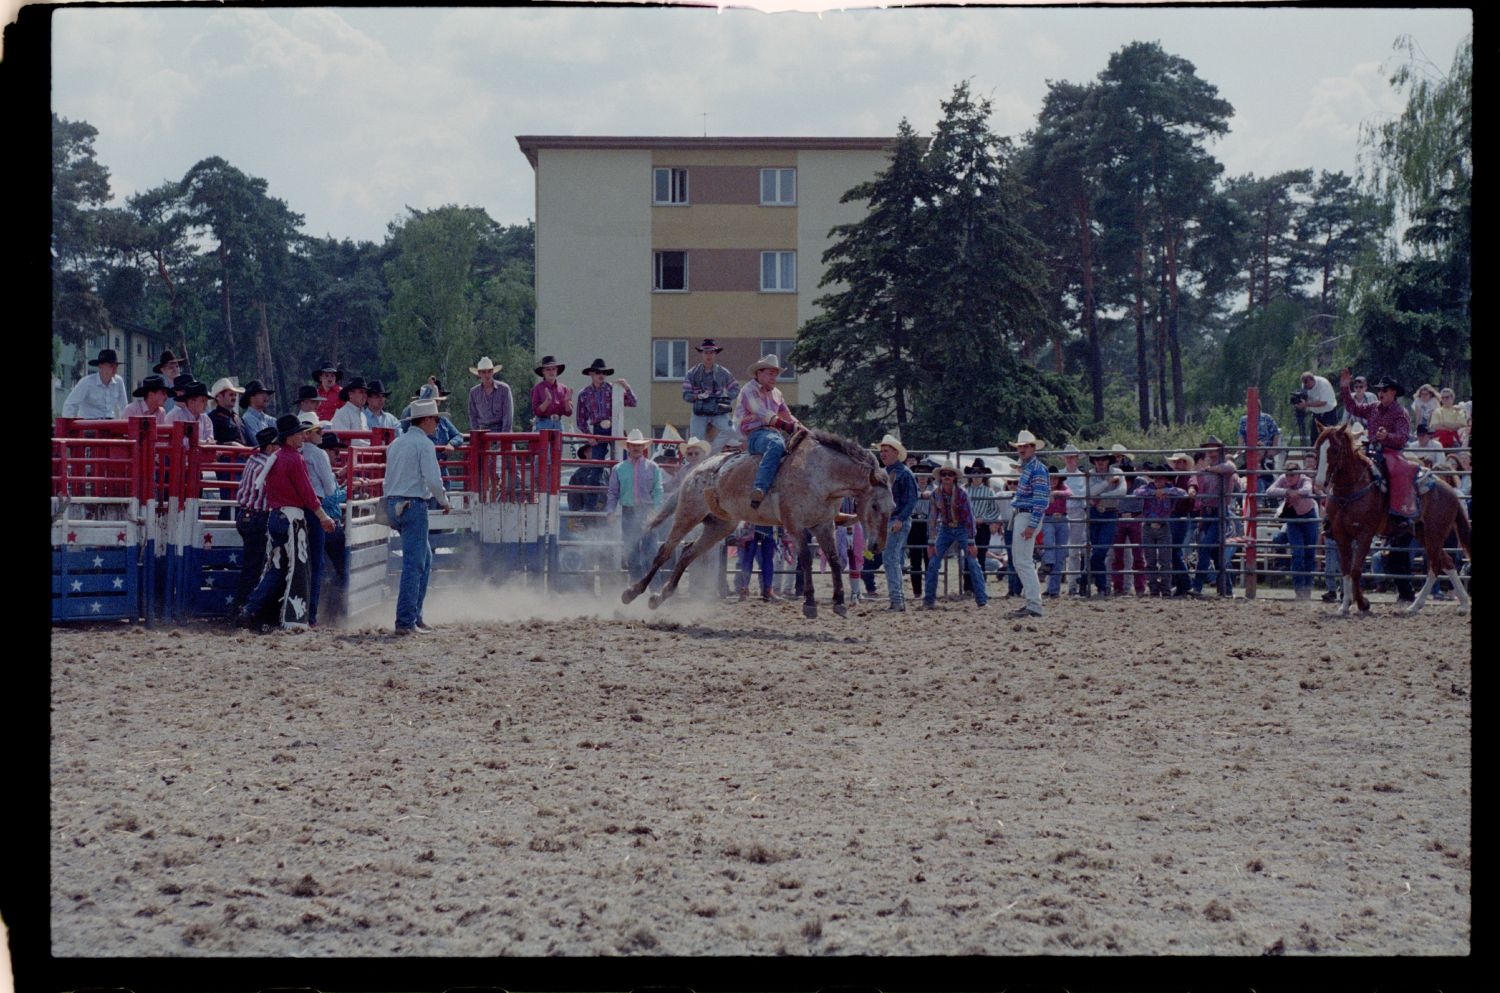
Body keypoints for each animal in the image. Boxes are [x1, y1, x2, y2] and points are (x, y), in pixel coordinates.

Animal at [618, 429, 888, 618]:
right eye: (875, 505)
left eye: (892, 507)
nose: (877, 546)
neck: (819, 473)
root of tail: (697, 469)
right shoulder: (795, 525)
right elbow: (805, 560)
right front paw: (810, 603)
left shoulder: (823, 525)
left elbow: (834, 560)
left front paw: (840, 603)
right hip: (689, 513)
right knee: (665, 551)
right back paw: (632, 592)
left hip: (720, 525)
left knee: (687, 553)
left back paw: (660, 597)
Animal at [1320, 426, 1470, 618]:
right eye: (1317, 448)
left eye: (1334, 449)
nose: (1321, 481)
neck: (1350, 490)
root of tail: (1452, 492)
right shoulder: (1341, 534)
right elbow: (1346, 569)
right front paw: (1344, 607)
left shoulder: (1365, 534)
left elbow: (1355, 569)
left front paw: (1363, 604)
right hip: (1422, 533)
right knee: (1447, 562)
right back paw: (1455, 604)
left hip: (1434, 534)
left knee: (1435, 566)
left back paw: (1418, 605)